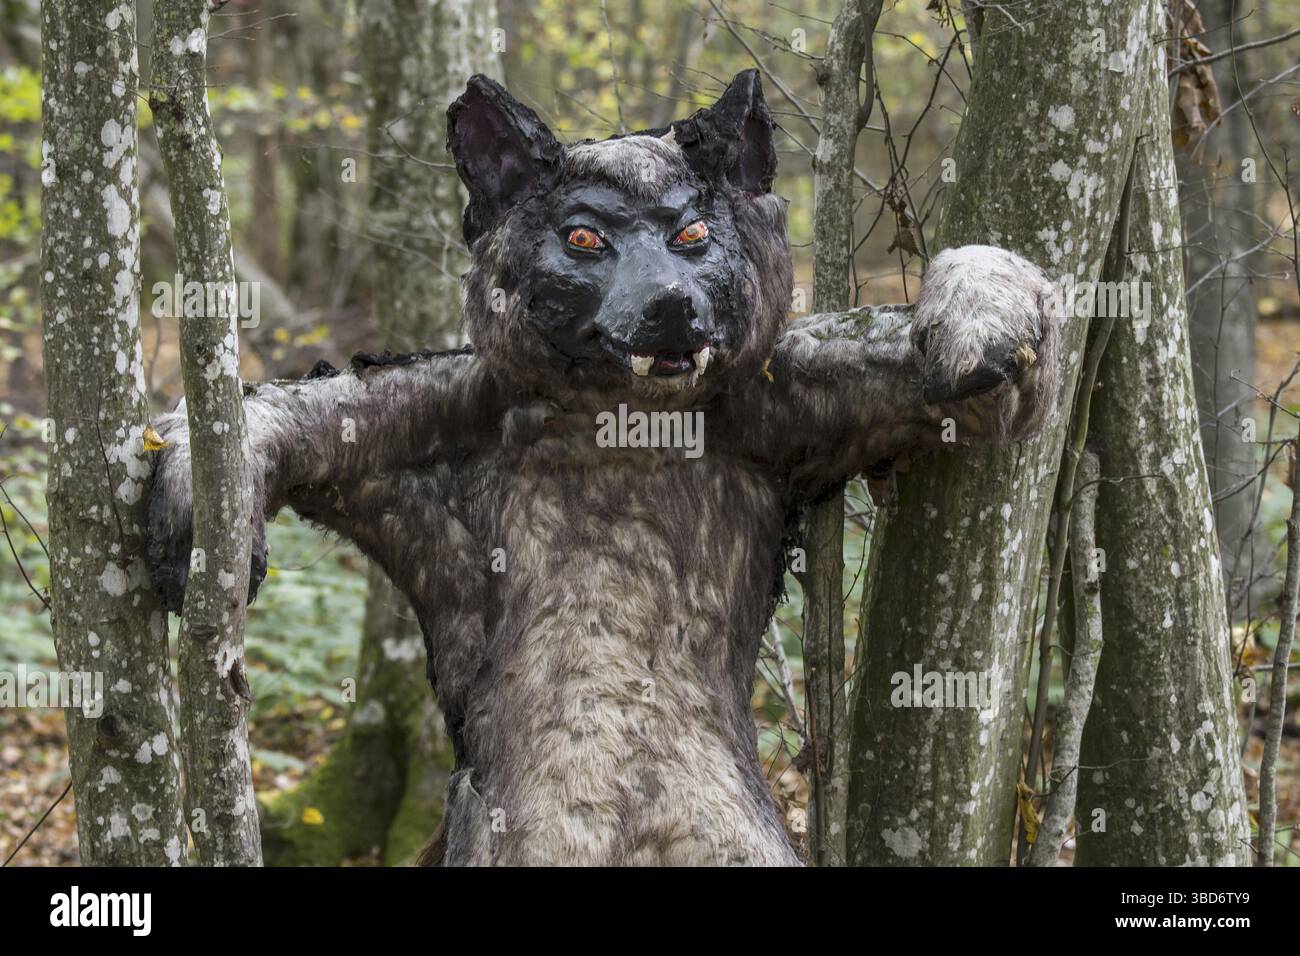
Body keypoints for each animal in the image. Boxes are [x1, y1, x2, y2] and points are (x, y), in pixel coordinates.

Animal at [147, 71, 1060, 866]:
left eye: (692, 235)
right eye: (584, 238)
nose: (670, 303)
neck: (619, 419)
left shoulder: (790, 412)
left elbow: (1006, 396)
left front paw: (976, 314)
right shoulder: (440, 422)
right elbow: (293, 411)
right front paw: (196, 494)